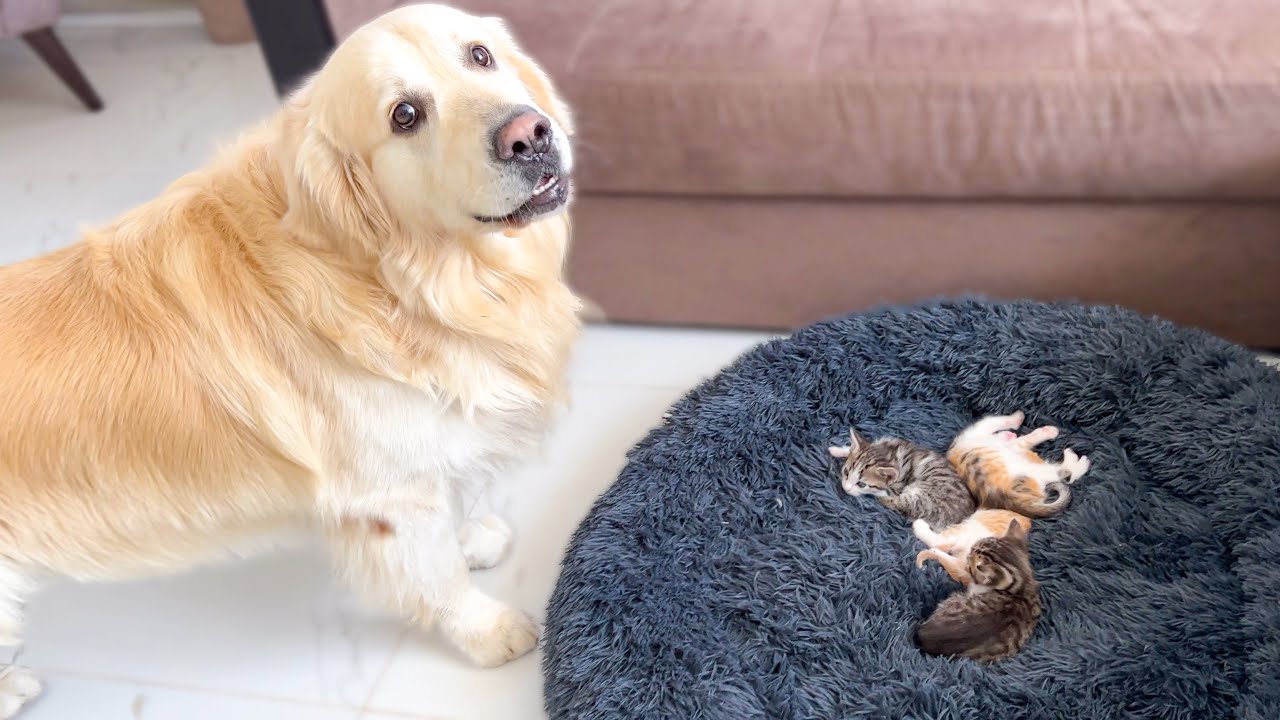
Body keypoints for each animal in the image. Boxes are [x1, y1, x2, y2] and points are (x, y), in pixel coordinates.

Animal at [0, 5, 576, 712]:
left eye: (480, 55)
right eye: (404, 115)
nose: (530, 135)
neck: (402, 277)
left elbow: (453, 501)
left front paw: (471, 538)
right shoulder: (387, 497)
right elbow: (435, 575)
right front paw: (486, 630)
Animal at [824, 427, 972, 525]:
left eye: (861, 484)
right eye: (846, 472)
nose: (845, 488)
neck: (890, 454)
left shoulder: (897, 485)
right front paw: (838, 449)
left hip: (925, 496)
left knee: (899, 503)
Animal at [952, 409, 1090, 515]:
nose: (1011, 435)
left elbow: (1018, 438)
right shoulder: (979, 430)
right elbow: (997, 421)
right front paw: (1017, 418)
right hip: (1025, 470)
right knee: (1062, 473)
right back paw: (1077, 461)